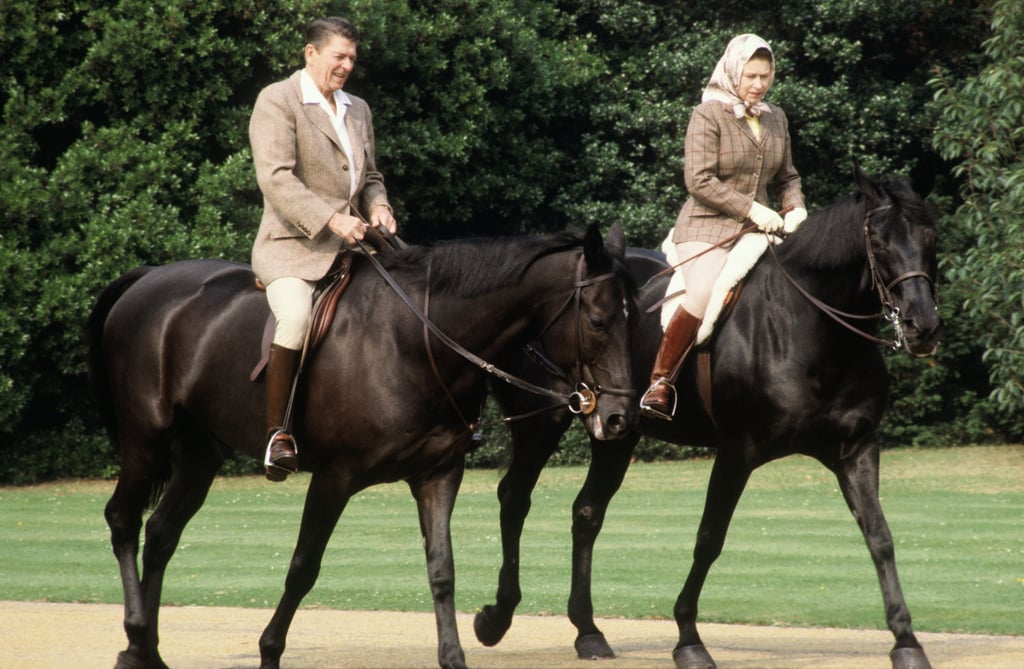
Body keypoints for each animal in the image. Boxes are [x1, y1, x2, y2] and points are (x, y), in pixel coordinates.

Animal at [92, 225, 638, 667]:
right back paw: (135, 635)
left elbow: (442, 569)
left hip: (199, 454)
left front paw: (454, 655)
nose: (619, 417)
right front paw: (269, 650)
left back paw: (145, 650)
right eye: (598, 321)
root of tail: (149, 278)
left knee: (161, 532)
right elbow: (303, 568)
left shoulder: (438, 474)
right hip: (145, 440)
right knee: (123, 520)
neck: (414, 340)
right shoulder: (333, 479)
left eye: (630, 321)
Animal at [477, 171, 942, 667]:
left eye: (931, 239)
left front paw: (906, 641)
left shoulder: (856, 450)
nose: (923, 328)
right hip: (543, 422)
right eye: (880, 243)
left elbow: (880, 536)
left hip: (616, 431)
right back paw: (496, 617)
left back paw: (588, 631)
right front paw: (688, 638)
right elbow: (709, 538)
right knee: (515, 497)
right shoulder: (737, 453)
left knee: (587, 513)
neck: (810, 328)